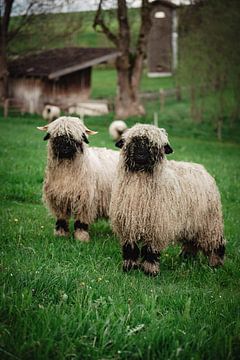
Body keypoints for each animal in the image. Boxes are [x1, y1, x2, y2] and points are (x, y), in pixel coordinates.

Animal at [109, 124, 226, 276]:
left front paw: (150, 271)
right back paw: (187, 258)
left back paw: (216, 264)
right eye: (133, 141)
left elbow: (150, 251)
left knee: (217, 242)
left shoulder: (157, 226)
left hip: (210, 222)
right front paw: (129, 268)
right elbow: (130, 249)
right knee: (191, 242)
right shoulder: (128, 225)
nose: (140, 154)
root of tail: (202, 169)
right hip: (193, 222)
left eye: (154, 145)